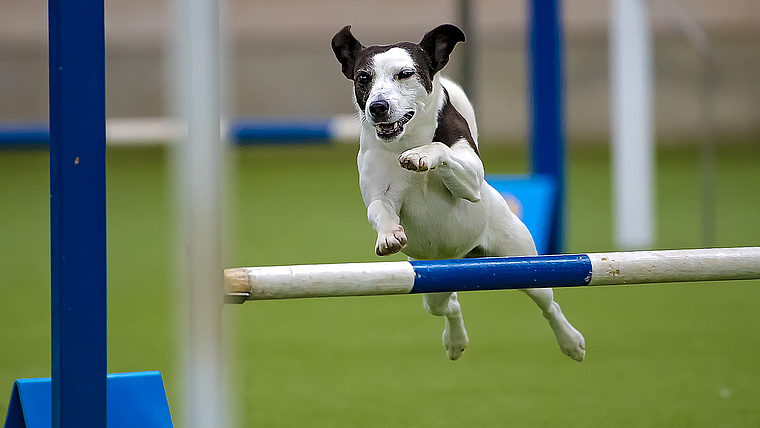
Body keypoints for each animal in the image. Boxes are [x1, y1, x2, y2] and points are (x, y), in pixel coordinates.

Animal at [330, 24, 584, 362]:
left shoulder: (472, 180)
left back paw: (571, 342)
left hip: (524, 266)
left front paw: (422, 155)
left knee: (549, 304)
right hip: (432, 282)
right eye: (363, 77)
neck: (405, 139)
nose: (378, 107)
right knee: (449, 304)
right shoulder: (379, 195)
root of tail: (458, 256)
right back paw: (455, 340)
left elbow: (440, 147)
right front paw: (389, 236)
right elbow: (381, 210)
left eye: (405, 73)